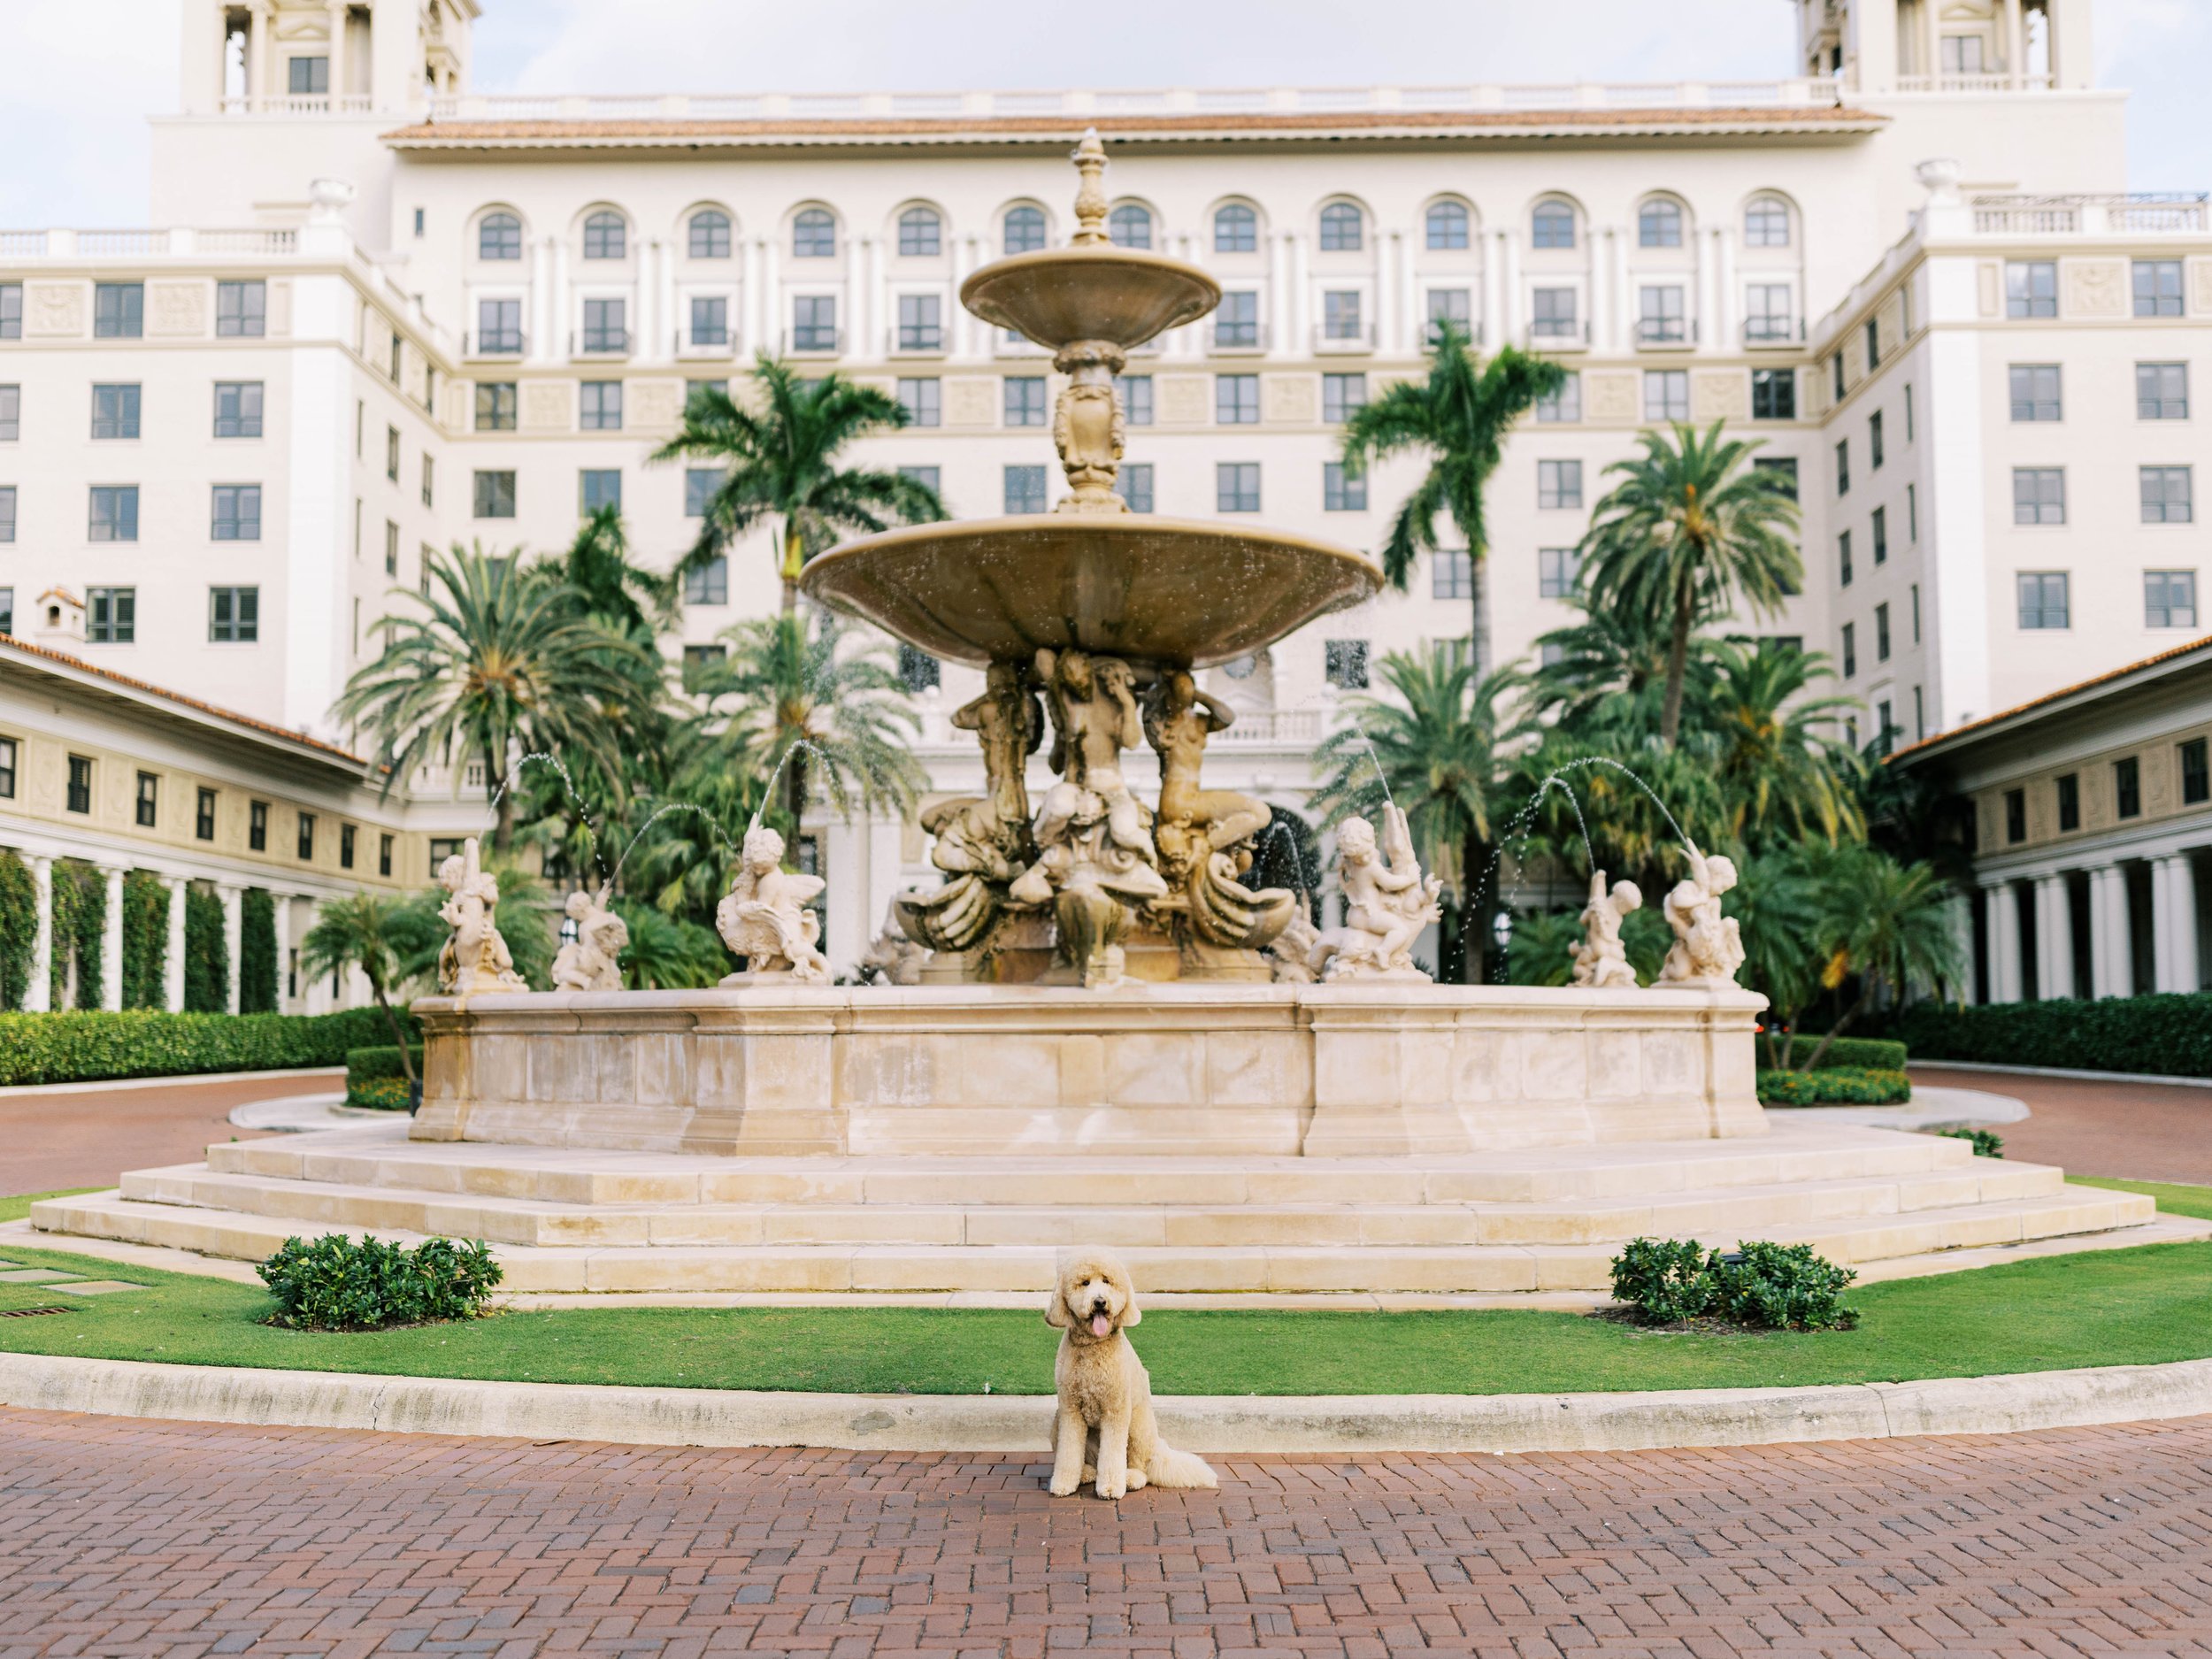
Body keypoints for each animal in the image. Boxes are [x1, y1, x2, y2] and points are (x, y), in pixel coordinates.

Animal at [1044, 1248, 1221, 1504]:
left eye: (1107, 1281)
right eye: (1084, 1283)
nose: (1100, 1302)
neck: (1092, 1346)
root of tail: (1157, 1448)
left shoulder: (1115, 1410)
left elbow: (1112, 1456)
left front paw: (1110, 1488)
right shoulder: (1070, 1409)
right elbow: (1068, 1452)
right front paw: (1064, 1484)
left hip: (1137, 1426)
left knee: (1140, 1467)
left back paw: (1129, 1478)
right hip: (1058, 1421)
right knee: (1089, 1461)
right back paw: (1086, 1473)